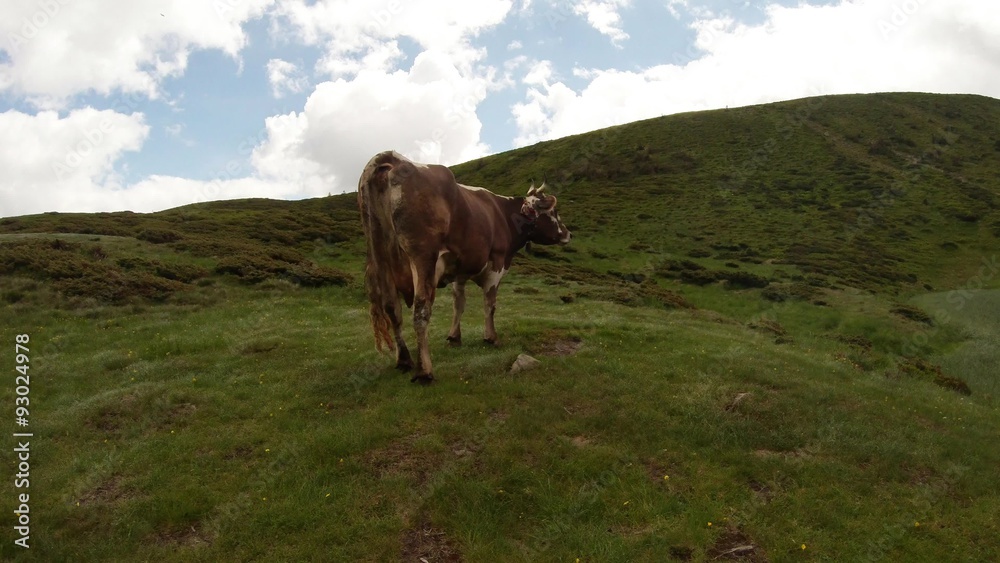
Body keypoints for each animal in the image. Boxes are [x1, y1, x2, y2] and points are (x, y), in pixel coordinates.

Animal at [357, 150, 571, 384]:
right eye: (554, 211)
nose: (568, 233)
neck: (503, 214)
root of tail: (394, 158)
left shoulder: (459, 271)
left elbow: (458, 304)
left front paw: (454, 337)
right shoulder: (497, 263)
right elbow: (490, 304)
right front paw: (491, 337)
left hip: (382, 259)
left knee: (391, 308)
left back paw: (404, 360)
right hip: (422, 257)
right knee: (420, 310)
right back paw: (424, 371)